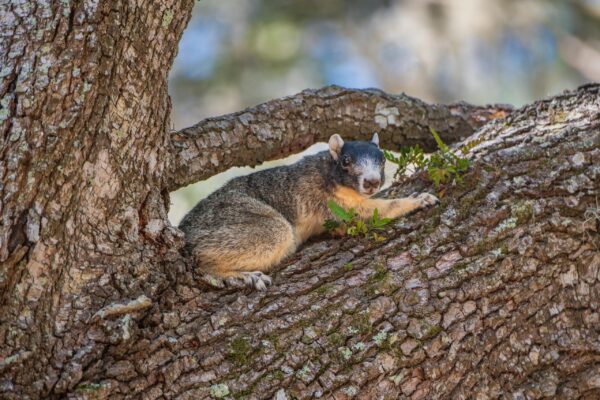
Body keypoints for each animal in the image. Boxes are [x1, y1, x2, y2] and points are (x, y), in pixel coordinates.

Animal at [177, 134, 436, 290]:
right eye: (346, 161)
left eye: (382, 160)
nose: (372, 182)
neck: (328, 171)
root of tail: (185, 232)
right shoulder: (333, 206)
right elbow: (376, 212)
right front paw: (418, 200)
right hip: (255, 227)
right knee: (202, 261)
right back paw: (243, 275)